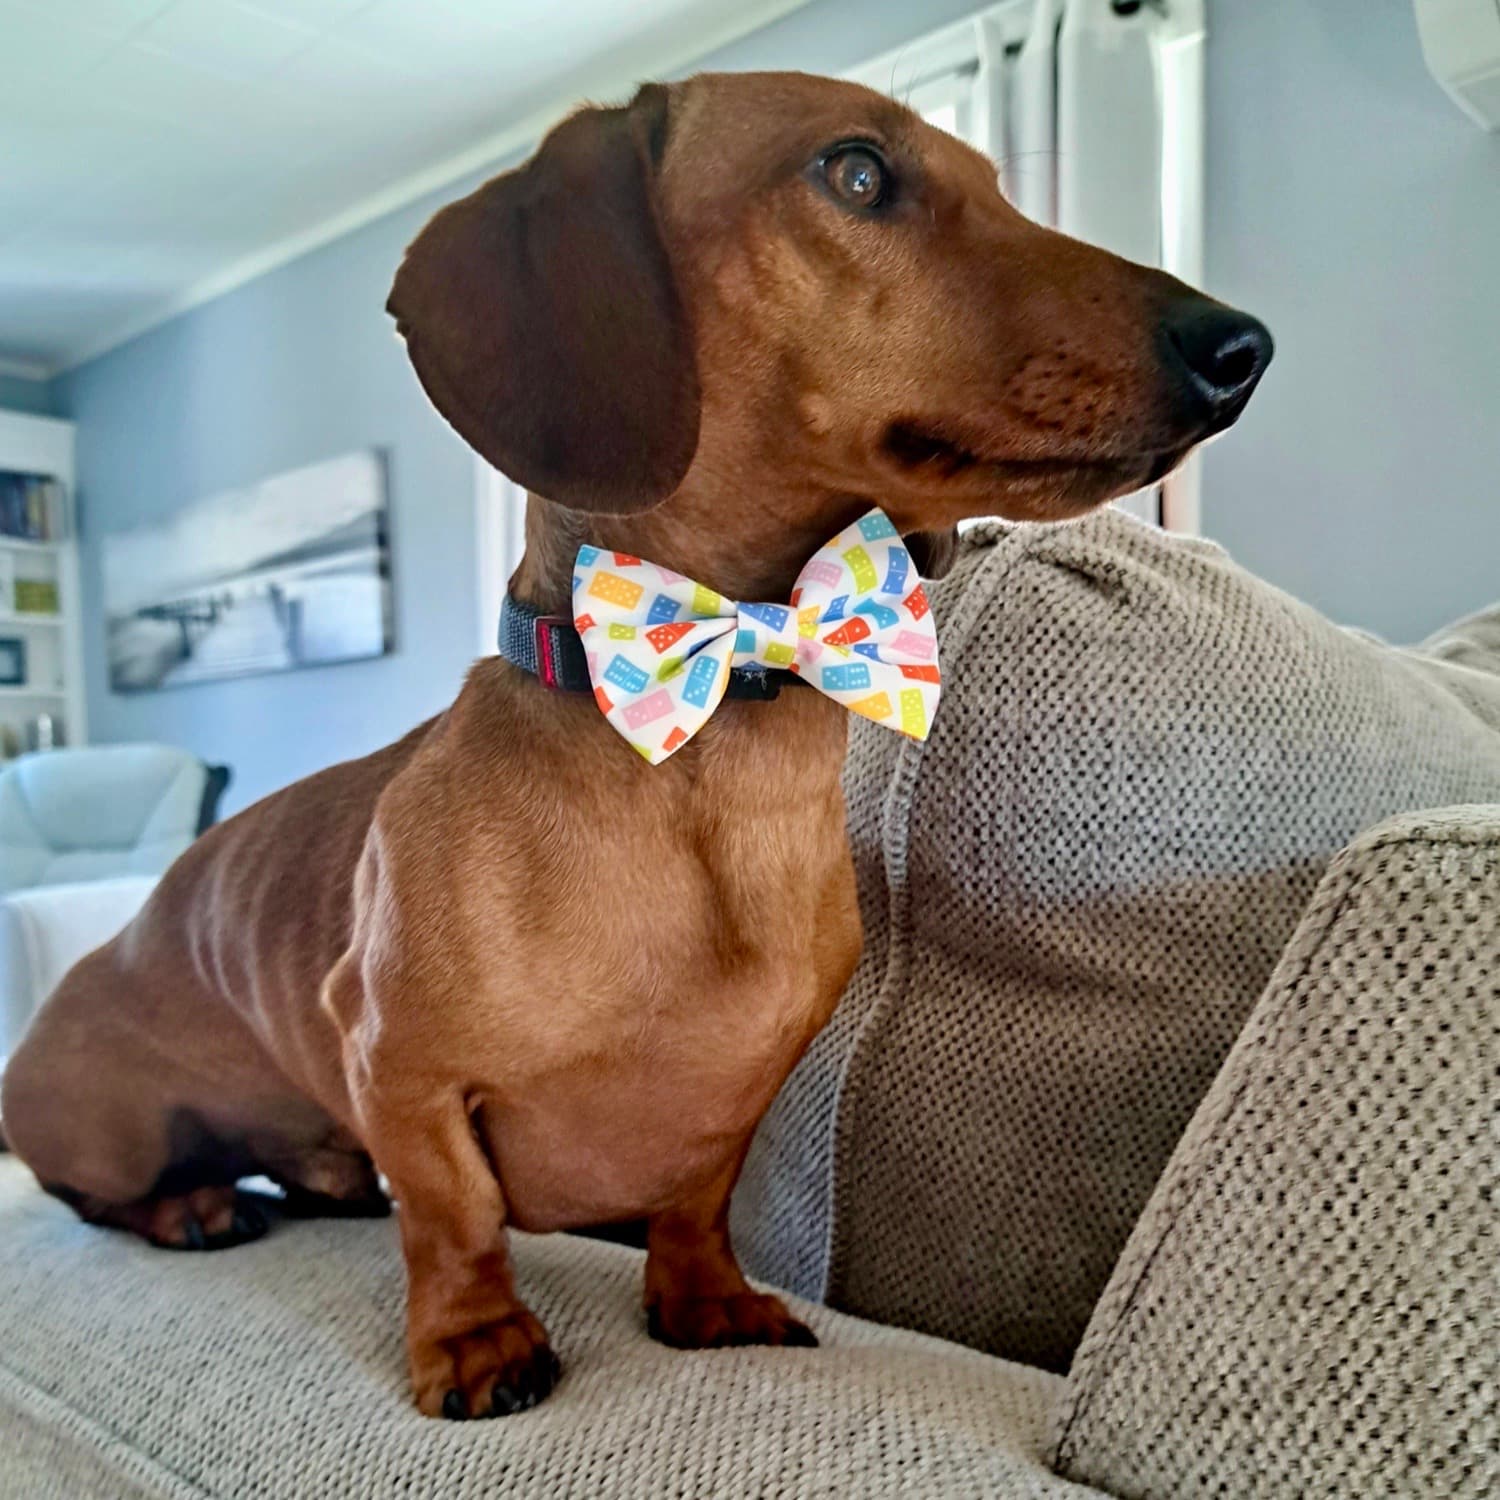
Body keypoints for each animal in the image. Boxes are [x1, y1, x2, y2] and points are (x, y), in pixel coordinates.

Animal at [0, 70, 1266, 1422]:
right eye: (858, 172)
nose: (1241, 346)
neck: (716, 745)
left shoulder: (744, 1094)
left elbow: (696, 1200)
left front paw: (705, 1298)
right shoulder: (398, 1068)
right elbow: (452, 1216)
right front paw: (476, 1339)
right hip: (107, 1125)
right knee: (101, 1196)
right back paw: (193, 1205)